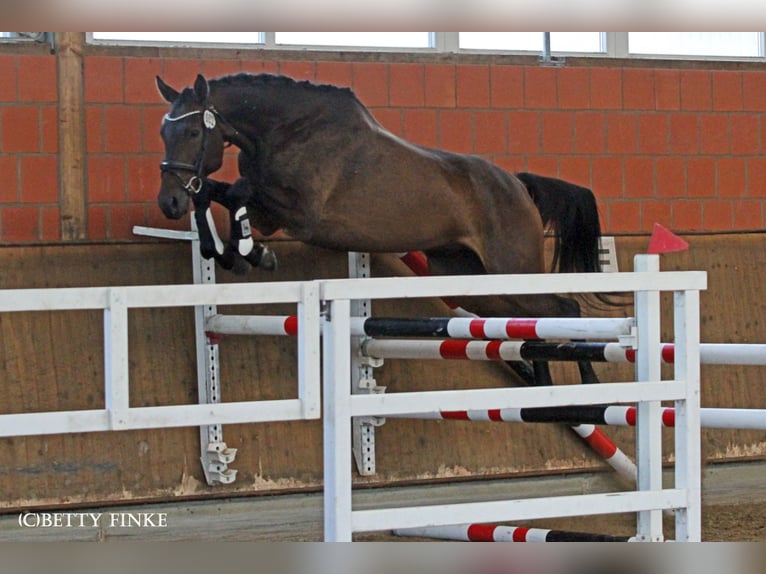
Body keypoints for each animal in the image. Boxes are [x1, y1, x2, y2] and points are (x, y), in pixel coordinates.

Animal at [156, 72, 616, 388]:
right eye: (164, 131)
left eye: (193, 131)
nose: (168, 203)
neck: (288, 130)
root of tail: (518, 185)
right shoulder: (271, 211)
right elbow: (217, 193)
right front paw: (229, 251)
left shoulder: (301, 214)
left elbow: (236, 192)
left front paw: (249, 253)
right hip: (470, 283)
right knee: (529, 319)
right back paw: (542, 390)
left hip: (510, 268)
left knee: (564, 310)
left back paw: (590, 387)